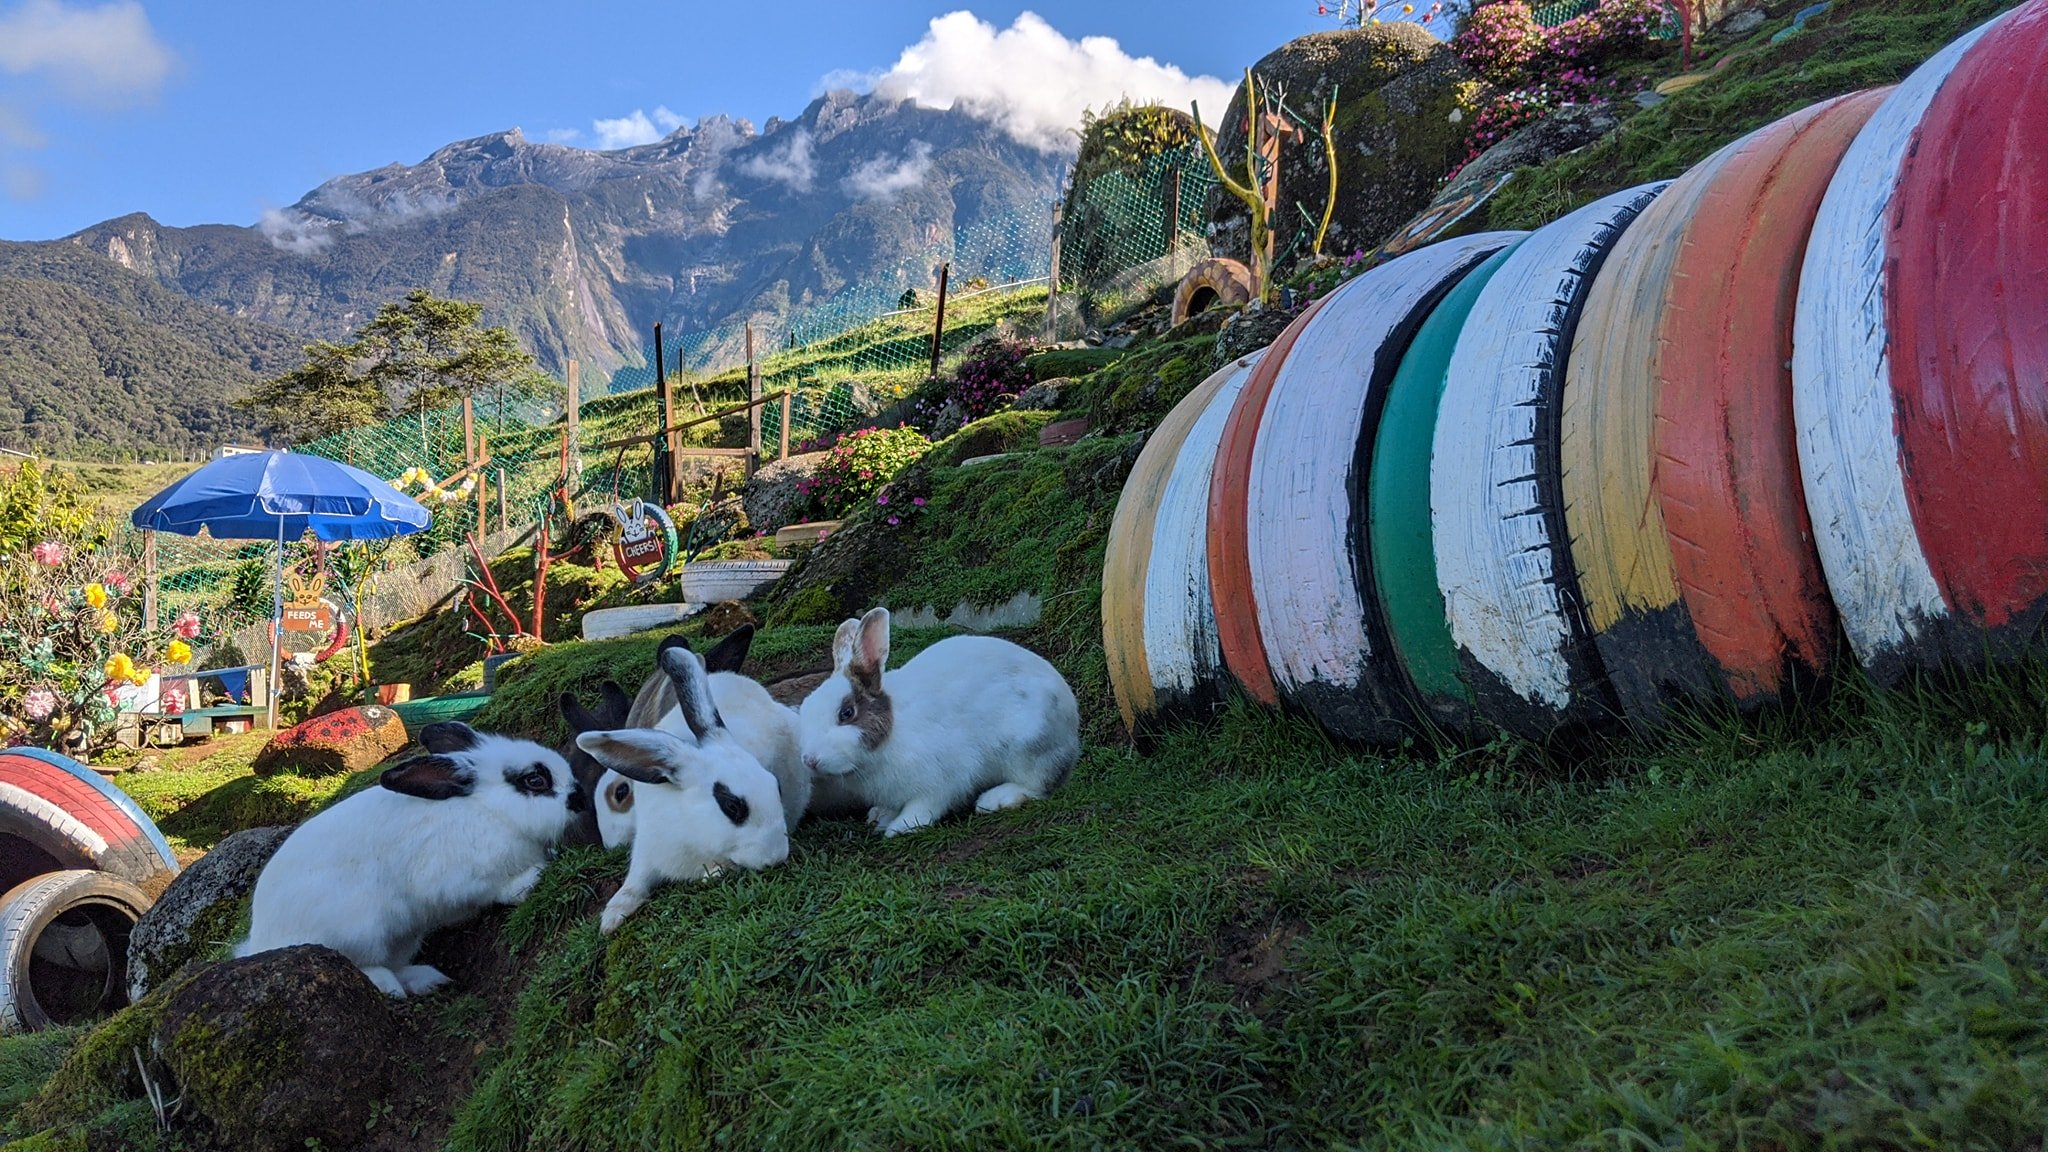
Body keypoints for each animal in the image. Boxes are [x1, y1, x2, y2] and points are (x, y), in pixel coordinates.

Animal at [234, 717, 585, 996]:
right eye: (535, 781)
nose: (580, 797)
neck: (490, 809)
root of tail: (261, 941)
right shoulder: (461, 878)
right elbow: (494, 890)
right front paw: (533, 877)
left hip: (404, 936)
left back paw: (426, 979)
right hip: (361, 932)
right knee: (363, 965)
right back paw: (390, 987)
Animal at [585, 639, 798, 926]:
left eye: (776, 787)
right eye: (732, 805)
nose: (775, 858)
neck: (692, 830)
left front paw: (715, 872)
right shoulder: (647, 848)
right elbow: (635, 882)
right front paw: (612, 917)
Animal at [798, 606, 1089, 840]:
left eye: (846, 713)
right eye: (806, 707)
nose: (809, 760)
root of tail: (1071, 731)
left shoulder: (941, 779)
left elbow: (925, 805)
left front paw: (900, 827)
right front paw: (881, 817)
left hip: (1029, 746)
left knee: (1039, 786)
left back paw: (996, 800)